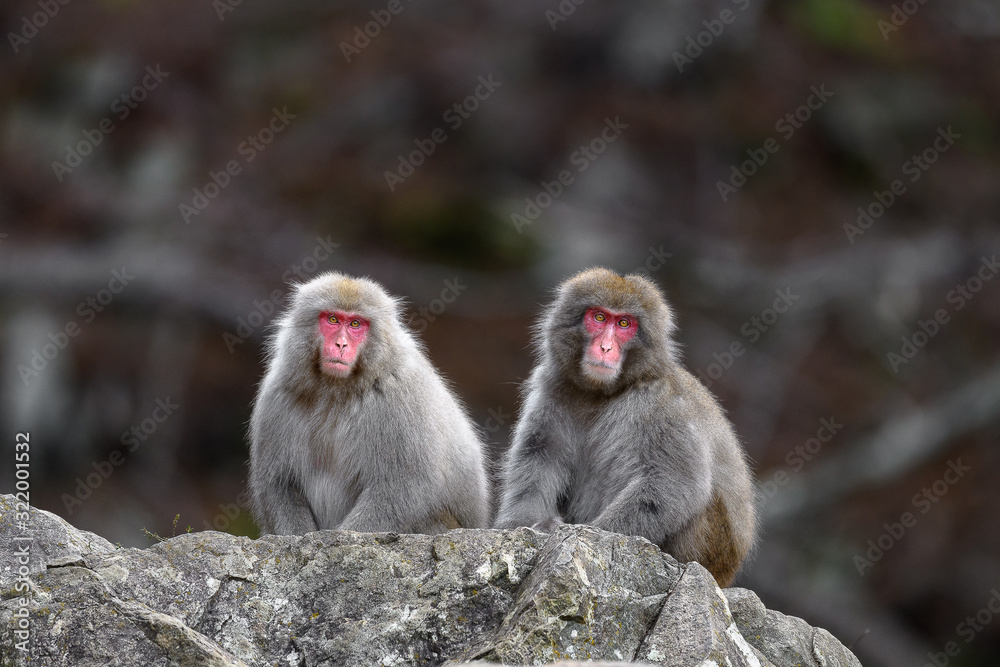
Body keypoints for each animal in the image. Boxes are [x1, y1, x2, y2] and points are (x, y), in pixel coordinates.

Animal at [248, 271, 490, 536]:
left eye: (355, 324)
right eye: (333, 319)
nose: (341, 345)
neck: (338, 389)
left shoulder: (399, 397)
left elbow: (403, 485)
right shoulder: (277, 394)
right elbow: (279, 484)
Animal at [494, 268, 756, 587]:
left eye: (623, 324)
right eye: (599, 317)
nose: (605, 347)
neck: (602, 393)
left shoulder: (661, 404)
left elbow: (675, 484)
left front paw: (589, 534)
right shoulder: (552, 387)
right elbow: (539, 456)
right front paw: (519, 526)